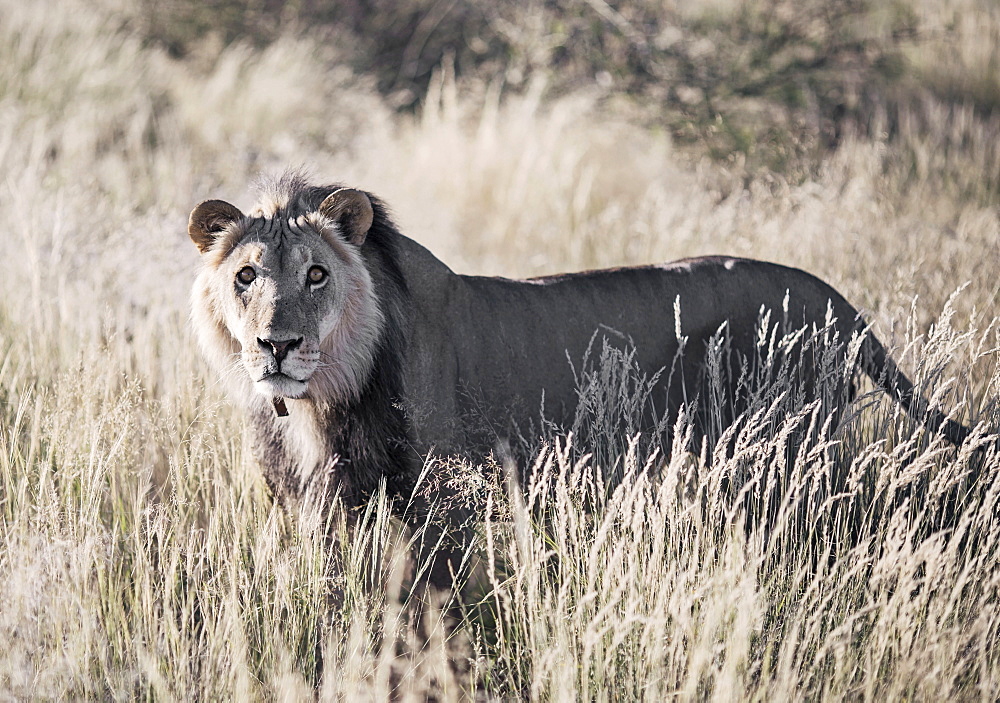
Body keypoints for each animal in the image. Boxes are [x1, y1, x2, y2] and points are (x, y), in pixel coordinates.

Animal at [188, 172, 968, 588]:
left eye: (318, 274)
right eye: (246, 276)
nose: (277, 345)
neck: (322, 401)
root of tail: (830, 295)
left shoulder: (440, 506)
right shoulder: (310, 508)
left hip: (796, 460)